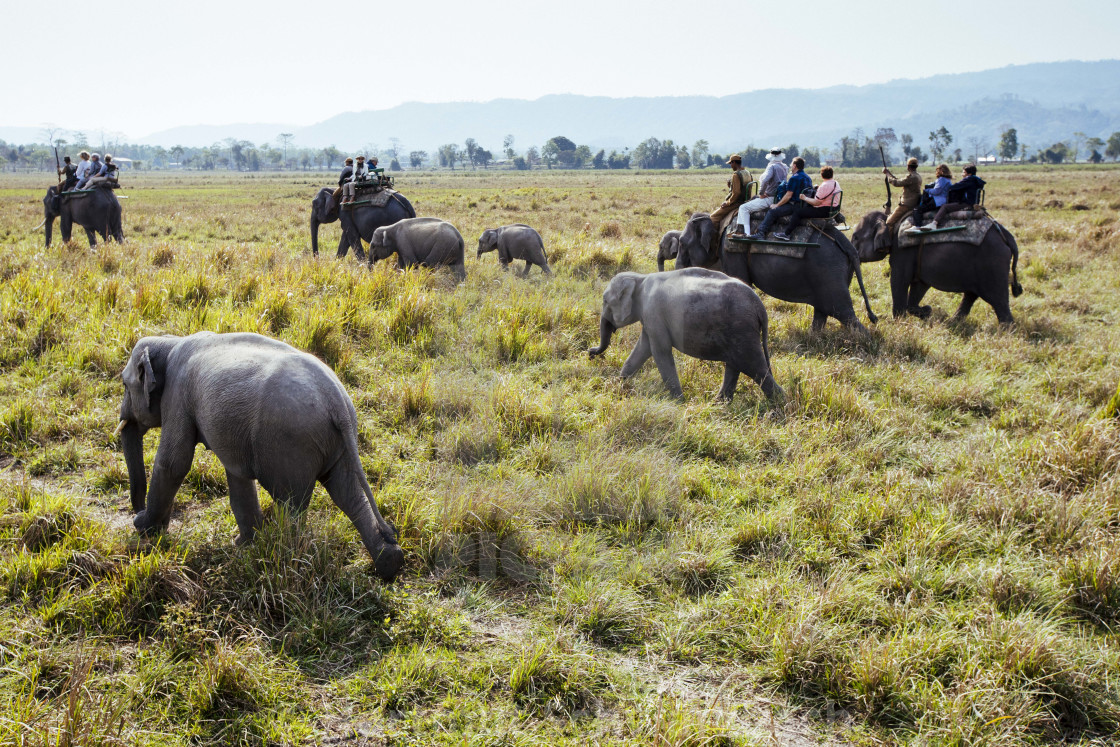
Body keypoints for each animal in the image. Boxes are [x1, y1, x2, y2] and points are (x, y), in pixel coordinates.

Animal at [112, 333, 403, 582]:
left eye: (125, 385)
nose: (139, 514)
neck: (170, 341)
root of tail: (338, 402)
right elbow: (238, 478)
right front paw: (243, 546)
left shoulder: (178, 395)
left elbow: (173, 463)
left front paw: (145, 529)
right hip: (336, 443)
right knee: (348, 494)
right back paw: (390, 563)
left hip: (288, 444)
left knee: (292, 504)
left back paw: (286, 561)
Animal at [591, 268, 784, 403]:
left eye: (605, 301)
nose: (590, 353)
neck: (640, 278)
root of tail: (760, 306)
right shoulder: (651, 319)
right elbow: (643, 348)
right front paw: (619, 385)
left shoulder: (653, 312)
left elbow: (660, 351)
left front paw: (678, 402)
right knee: (736, 364)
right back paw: (719, 404)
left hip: (741, 329)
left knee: (753, 366)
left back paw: (779, 406)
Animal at [676, 207, 878, 329]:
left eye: (682, 243)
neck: (718, 220)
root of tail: (848, 245)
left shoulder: (731, 249)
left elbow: (742, 281)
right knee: (823, 311)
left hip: (829, 270)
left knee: (843, 312)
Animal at [846, 209, 1025, 322]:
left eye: (855, 237)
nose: (873, 318)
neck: (890, 220)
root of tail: (1006, 236)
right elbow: (920, 285)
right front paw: (926, 311)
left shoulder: (903, 251)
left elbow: (899, 280)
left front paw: (899, 322)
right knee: (971, 295)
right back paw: (953, 322)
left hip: (993, 264)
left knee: (998, 300)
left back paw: (1006, 331)